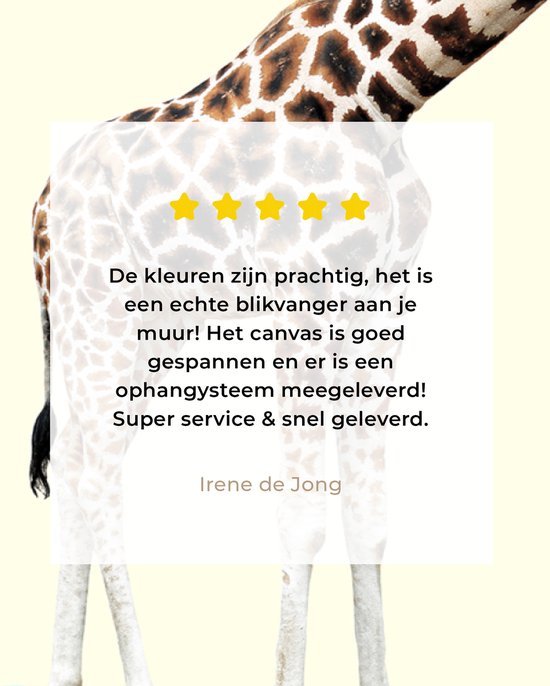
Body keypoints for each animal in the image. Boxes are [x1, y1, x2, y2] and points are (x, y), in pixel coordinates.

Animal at [30, 1, 547, 685]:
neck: (374, 94)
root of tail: (37, 212)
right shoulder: (294, 297)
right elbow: (301, 520)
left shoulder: (381, 311)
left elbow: (369, 517)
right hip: (98, 317)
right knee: (96, 476)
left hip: (137, 340)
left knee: (72, 461)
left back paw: (64, 671)